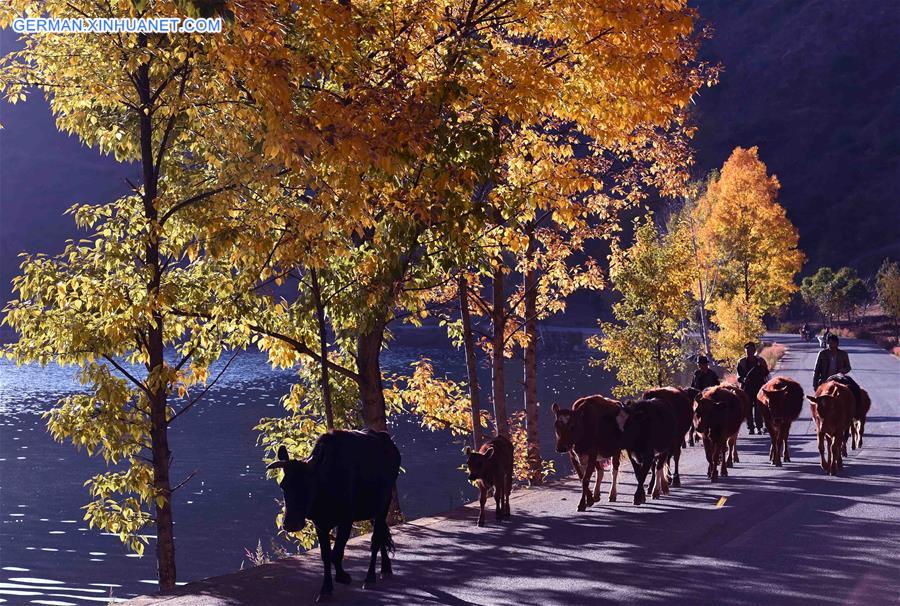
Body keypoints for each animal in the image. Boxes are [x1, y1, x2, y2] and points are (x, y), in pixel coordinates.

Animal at [268, 430, 400, 604]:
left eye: (307, 485)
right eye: (283, 485)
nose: (291, 524)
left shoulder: (346, 520)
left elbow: (336, 554)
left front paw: (343, 577)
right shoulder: (320, 524)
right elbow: (326, 556)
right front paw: (326, 589)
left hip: (383, 505)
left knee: (376, 540)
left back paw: (370, 577)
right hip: (372, 511)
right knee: (382, 536)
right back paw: (385, 568)